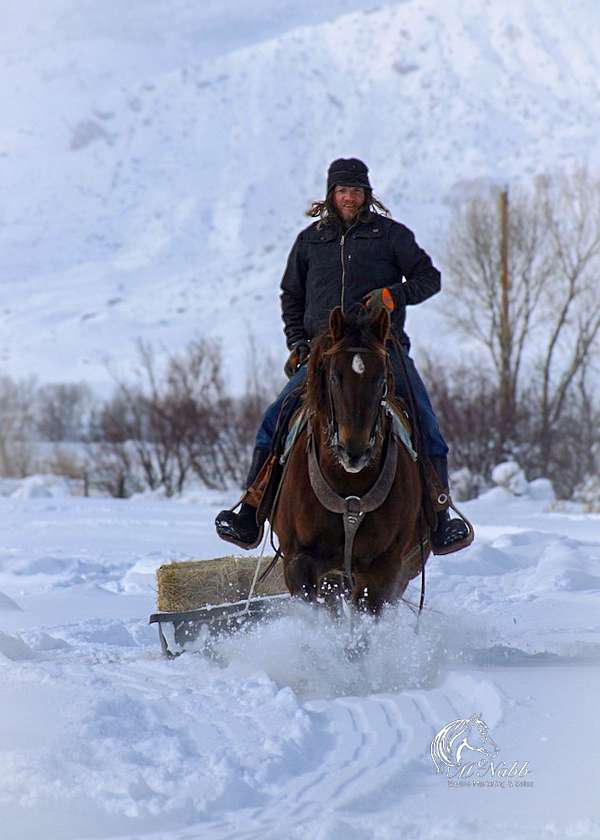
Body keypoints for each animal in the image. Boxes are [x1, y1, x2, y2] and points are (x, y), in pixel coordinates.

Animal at [270, 306, 428, 612]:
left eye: (381, 378)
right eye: (334, 377)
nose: (354, 450)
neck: (348, 486)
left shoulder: (384, 568)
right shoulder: (298, 561)